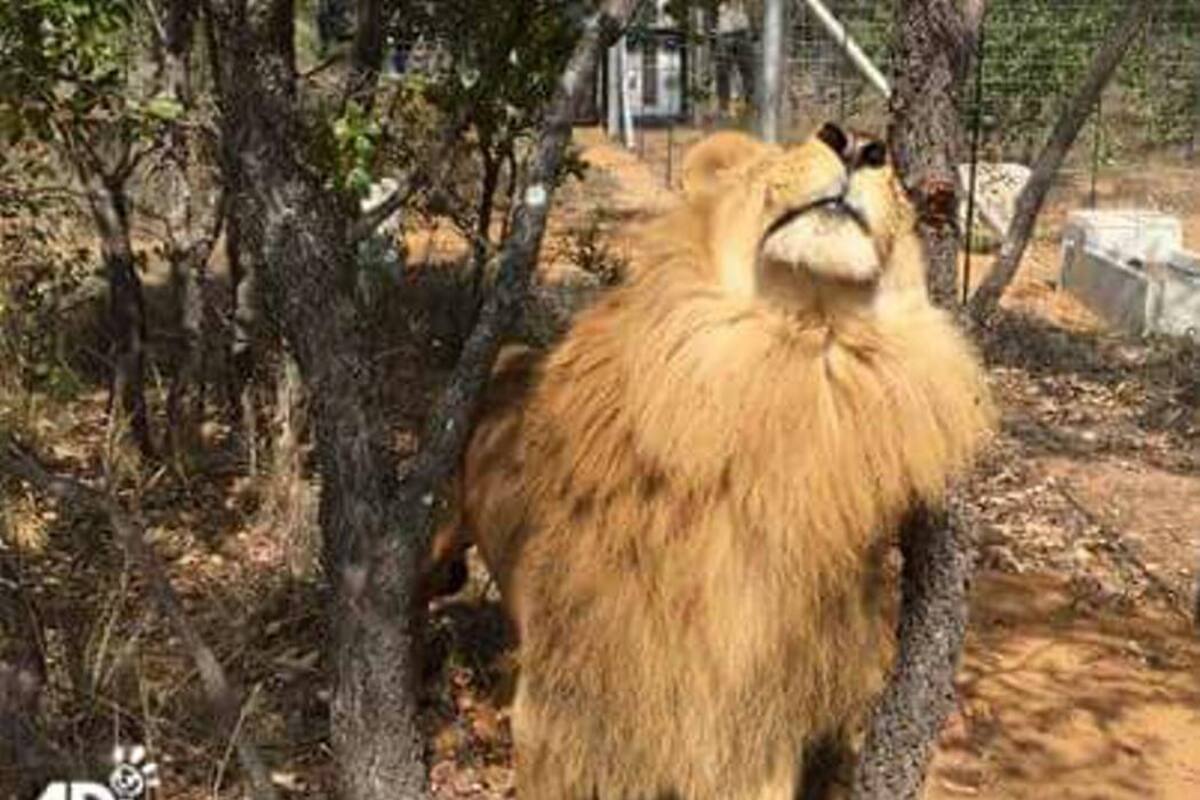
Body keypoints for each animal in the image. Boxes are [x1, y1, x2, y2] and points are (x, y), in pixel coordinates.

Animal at [422, 122, 997, 799]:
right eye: (787, 152)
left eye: (902, 191)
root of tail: (507, 353)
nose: (856, 141)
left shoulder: (753, 719)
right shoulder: (565, 703)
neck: (789, 360)